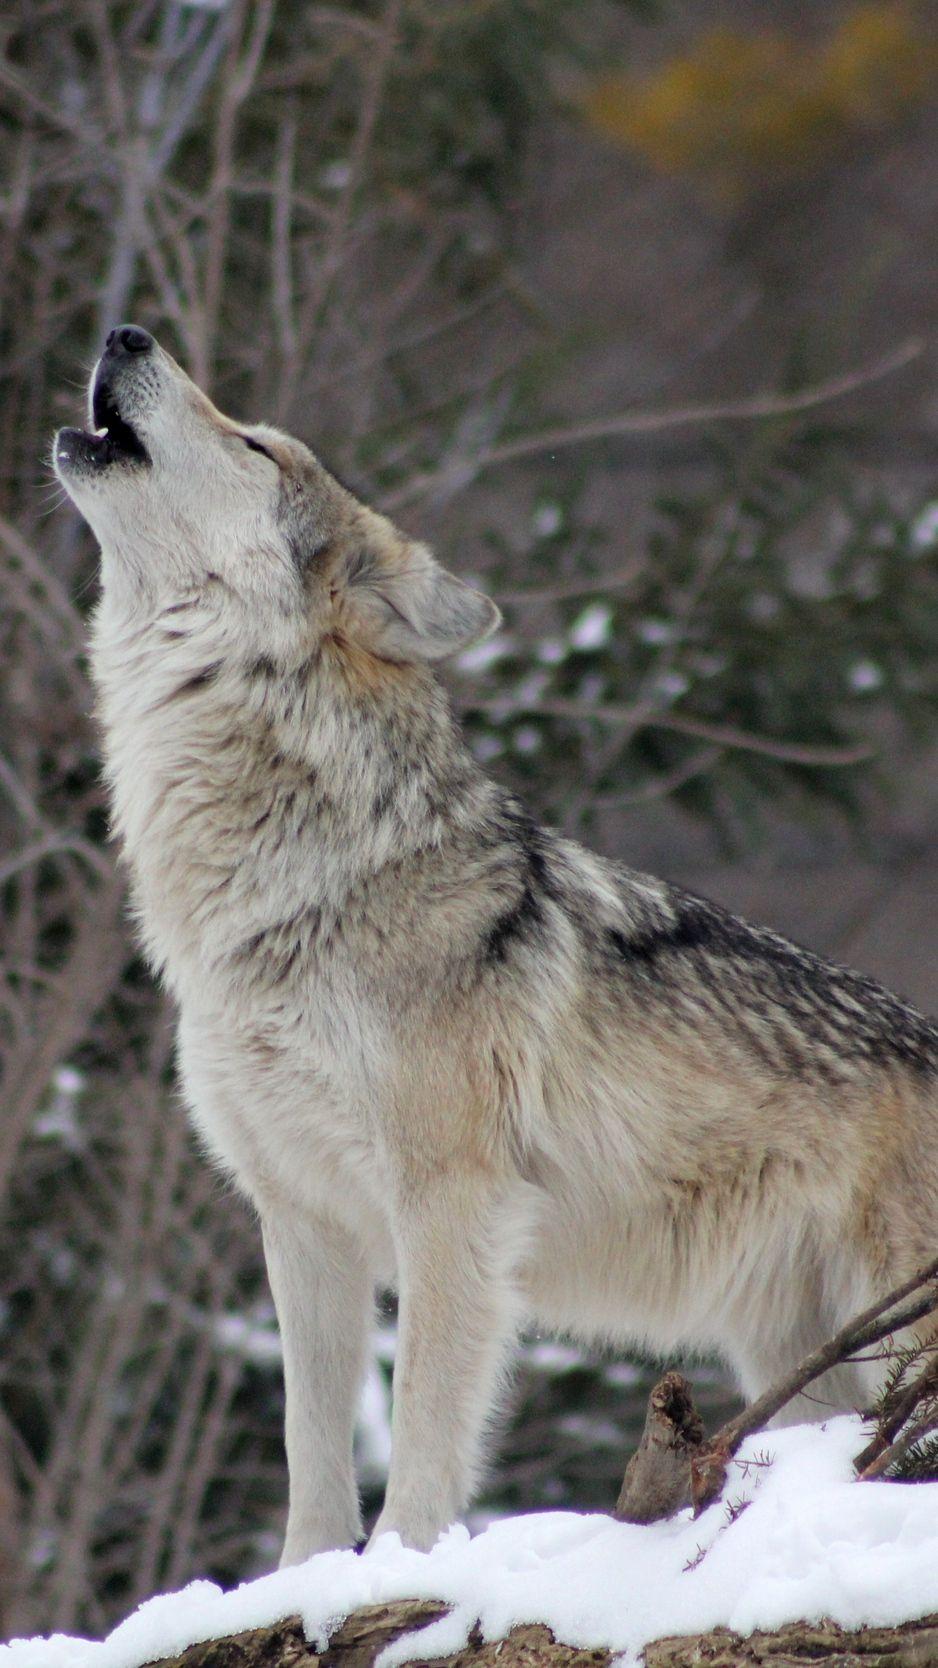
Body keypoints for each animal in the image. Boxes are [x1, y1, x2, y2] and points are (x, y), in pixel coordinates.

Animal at [55, 325, 938, 1560]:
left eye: (256, 445)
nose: (125, 333)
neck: (298, 890)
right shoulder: (302, 1220)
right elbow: (311, 1446)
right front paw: (304, 1579)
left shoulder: (451, 1204)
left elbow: (425, 1426)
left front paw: (394, 1571)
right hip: (801, 1358)